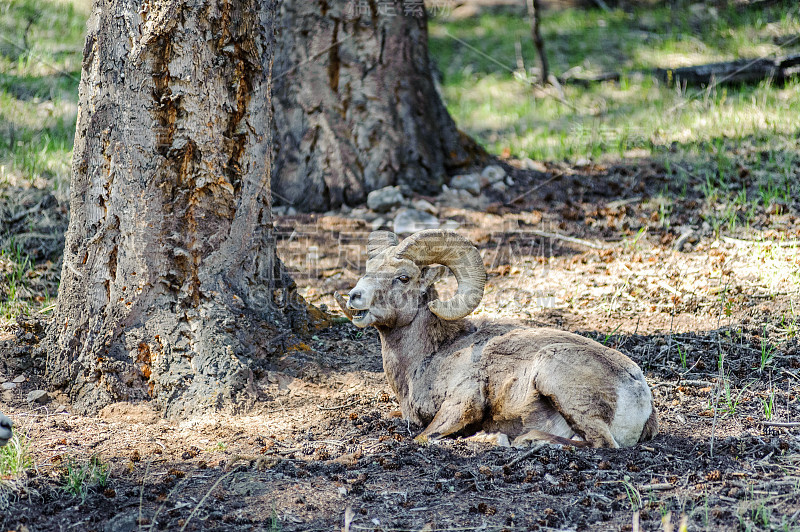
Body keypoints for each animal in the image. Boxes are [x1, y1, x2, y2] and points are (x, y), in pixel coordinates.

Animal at [336, 231, 656, 446]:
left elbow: (424, 438)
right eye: (368, 271)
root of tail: (638, 391)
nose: (355, 296)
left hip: (553, 372)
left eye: (403, 277)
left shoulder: (461, 404)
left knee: (600, 444)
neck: (429, 358)